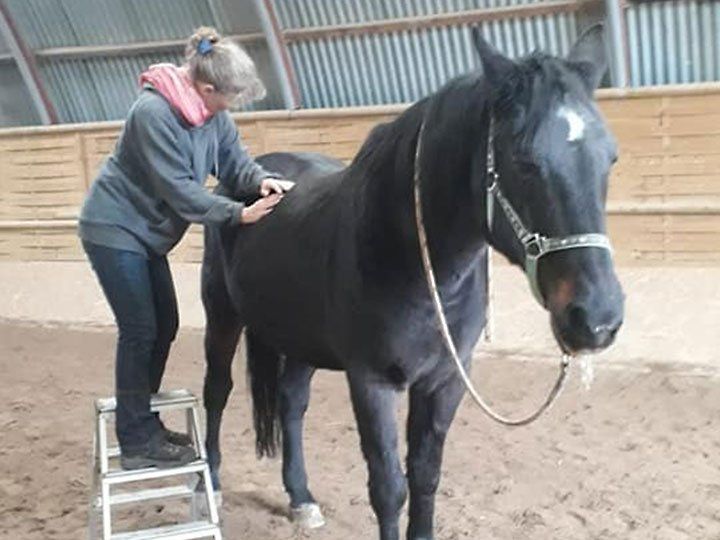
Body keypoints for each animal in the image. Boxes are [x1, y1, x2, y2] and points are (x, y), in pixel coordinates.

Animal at [200, 24, 624, 540]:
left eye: (610, 159)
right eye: (524, 161)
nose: (596, 319)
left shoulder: (445, 382)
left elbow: (425, 476)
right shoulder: (371, 383)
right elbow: (388, 487)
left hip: (300, 339)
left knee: (291, 403)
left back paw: (301, 498)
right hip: (222, 316)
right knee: (217, 392)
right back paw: (211, 483)